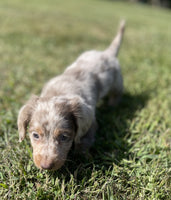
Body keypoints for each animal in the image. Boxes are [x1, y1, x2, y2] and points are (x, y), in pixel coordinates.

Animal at [17, 20, 125, 170]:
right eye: (35, 135)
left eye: (64, 137)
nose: (46, 166)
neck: (59, 92)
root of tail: (106, 53)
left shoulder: (90, 122)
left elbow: (83, 140)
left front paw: (82, 156)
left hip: (117, 82)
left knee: (117, 94)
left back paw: (112, 105)